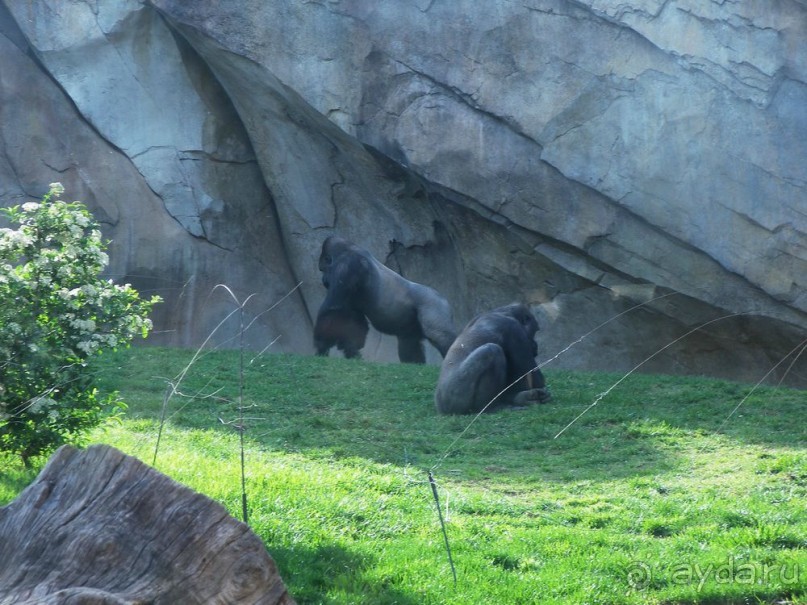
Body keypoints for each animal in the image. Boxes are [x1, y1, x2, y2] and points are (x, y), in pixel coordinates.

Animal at [314, 236, 458, 364]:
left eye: (322, 269)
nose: (323, 279)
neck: (349, 249)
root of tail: (444, 300)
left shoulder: (346, 266)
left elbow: (333, 309)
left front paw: (321, 344)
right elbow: (352, 319)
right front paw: (350, 349)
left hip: (434, 305)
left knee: (440, 335)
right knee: (409, 341)